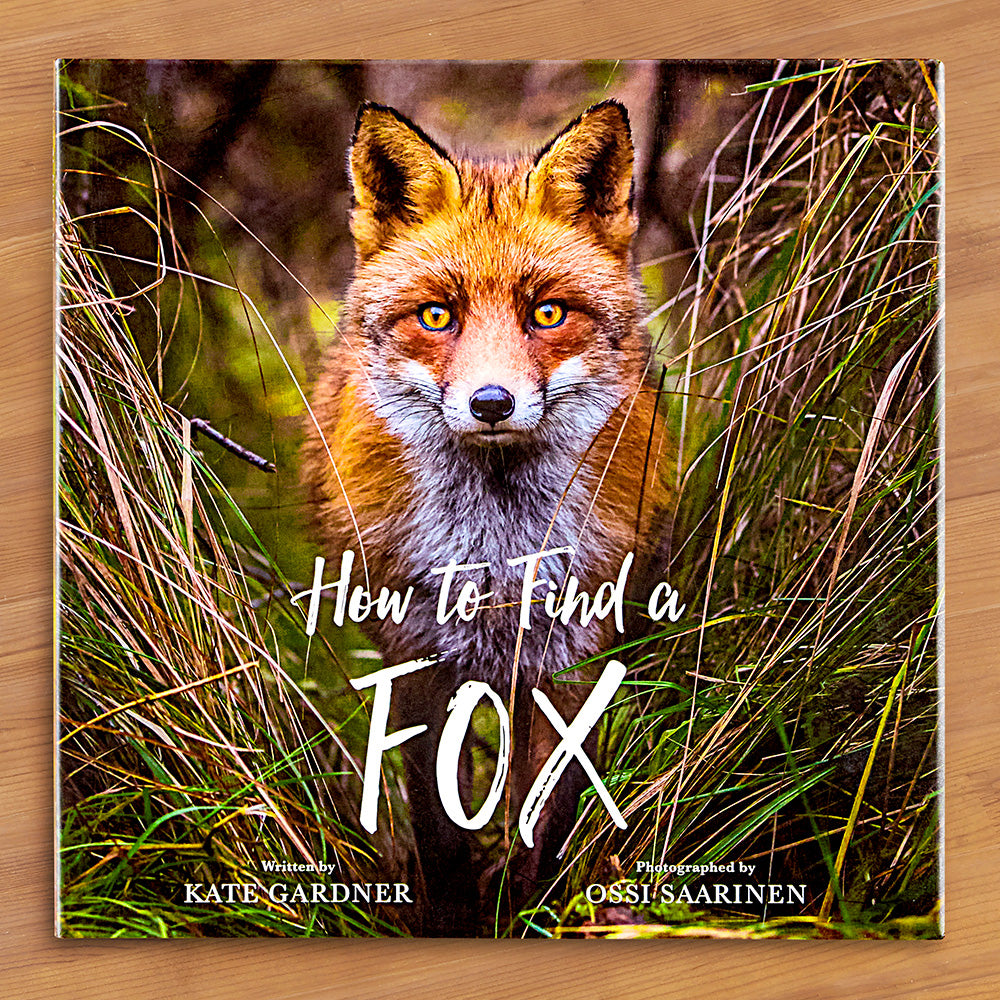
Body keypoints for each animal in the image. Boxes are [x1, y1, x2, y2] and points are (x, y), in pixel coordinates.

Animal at [301, 99, 674, 934]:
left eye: (548, 313)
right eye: (438, 315)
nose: (492, 404)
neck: (496, 550)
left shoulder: (571, 656)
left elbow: (545, 817)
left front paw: (524, 910)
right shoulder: (418, 656)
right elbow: (440, 830)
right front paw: (455, 920)